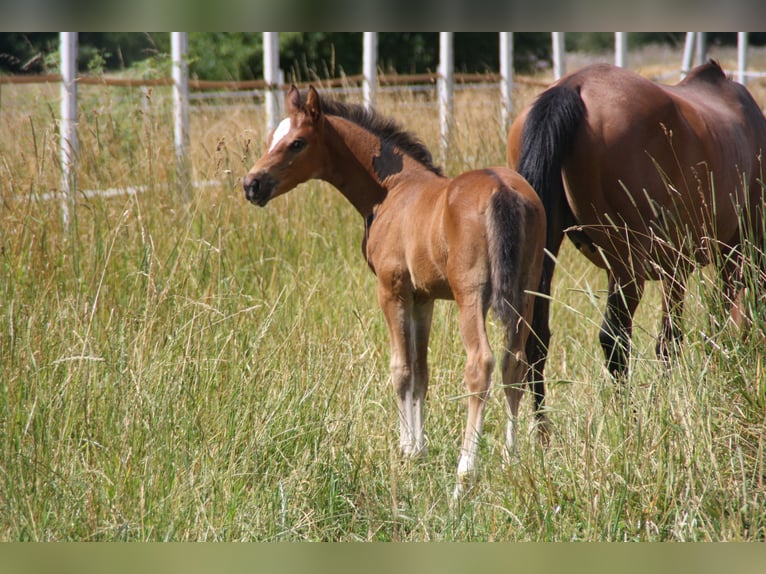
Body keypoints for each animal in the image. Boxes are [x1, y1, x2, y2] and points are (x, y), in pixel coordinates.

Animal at [243, 85, 548, 496]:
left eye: (297, 143)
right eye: (271, 139)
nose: (252, 185)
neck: (392, 191)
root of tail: (503, 190)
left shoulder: (392, 289)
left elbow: (400, 368)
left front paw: (406, 450)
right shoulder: (423, 298)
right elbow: (421, 370)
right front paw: (419, 447)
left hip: (471, 295)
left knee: (480, 364)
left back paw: (465, 472)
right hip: (526, 291)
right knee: (513, 362)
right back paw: (511, 459)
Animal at [510, 62, 766, 400]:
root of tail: (575, 84)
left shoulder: (677, 265)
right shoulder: (733, 255)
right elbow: (693, 333)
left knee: (536, 340)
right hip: (628, 264)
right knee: (614, 340)